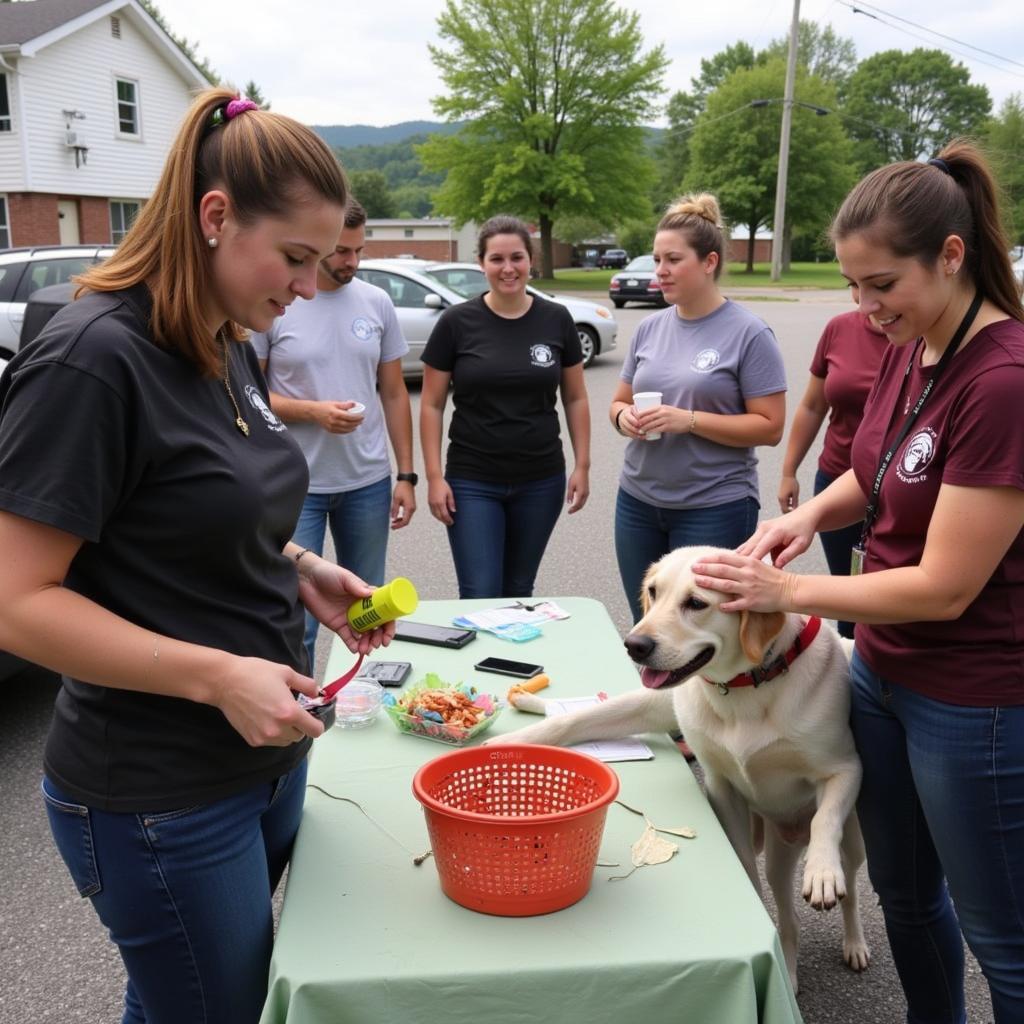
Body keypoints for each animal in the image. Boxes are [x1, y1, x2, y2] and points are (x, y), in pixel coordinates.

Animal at [491, 544, 868, 991]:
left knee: (848, 886)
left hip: (856, 840)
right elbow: (582, 717)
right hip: (775, 850)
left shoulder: (845, 768)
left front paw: (822, 872)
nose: (634, 644)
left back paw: (852, 942)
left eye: (697, 603)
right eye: (654, 592)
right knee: (787, 915)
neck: (745, 687)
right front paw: (511, 743)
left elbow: (824, 818)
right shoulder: (721, 785)